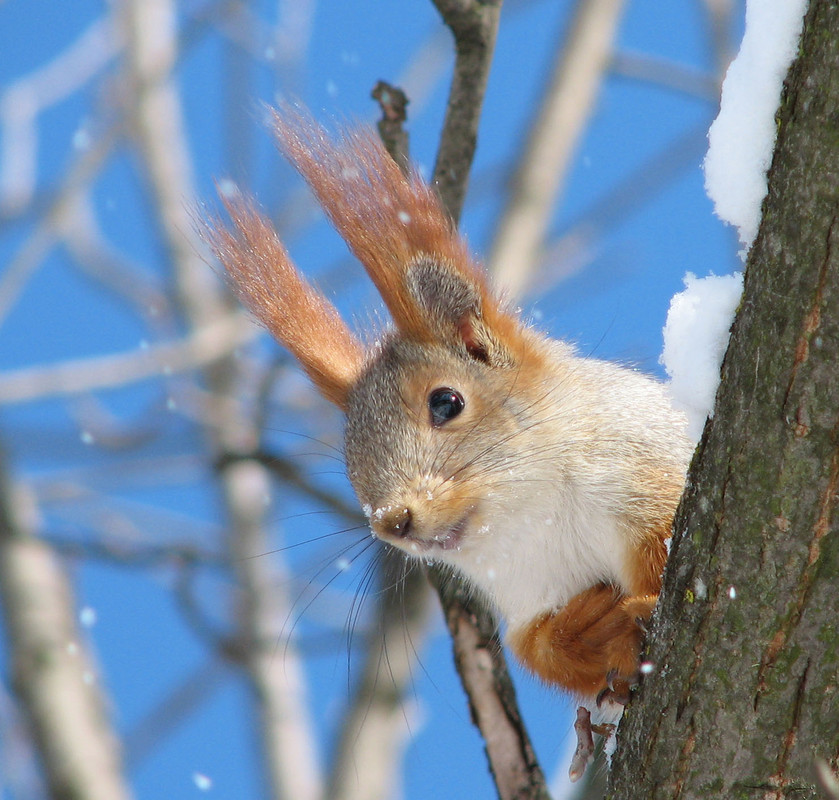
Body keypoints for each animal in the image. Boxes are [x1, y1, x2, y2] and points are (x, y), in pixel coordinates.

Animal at [207, 106, 692, 776]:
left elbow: (662, 535)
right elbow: (540, 650)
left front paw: (640, 604)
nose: (392, 521)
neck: (534, 517)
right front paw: (591, 630)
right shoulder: (526, 598)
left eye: (446, 402)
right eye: (348, 461)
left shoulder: (644, 468)